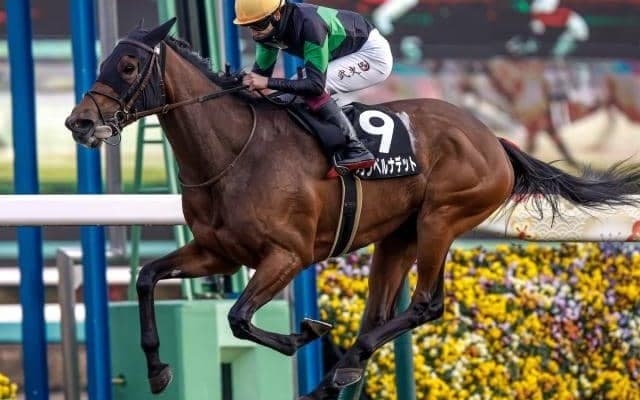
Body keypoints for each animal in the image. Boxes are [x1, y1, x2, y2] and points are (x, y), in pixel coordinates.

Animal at [65, 19, 640, 399]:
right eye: (102, 61)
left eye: (129, 65)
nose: (79, 123)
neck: (232, 152)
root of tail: (494, 139)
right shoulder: (218, 253)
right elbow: (146, 278)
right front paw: (157, 369)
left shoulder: (288, 255)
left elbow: (238, 318)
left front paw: (304, 333)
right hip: (397, 236)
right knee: (379, 315)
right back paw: (341, 371)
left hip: (440, 220)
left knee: (427, 305)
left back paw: (340, 368)